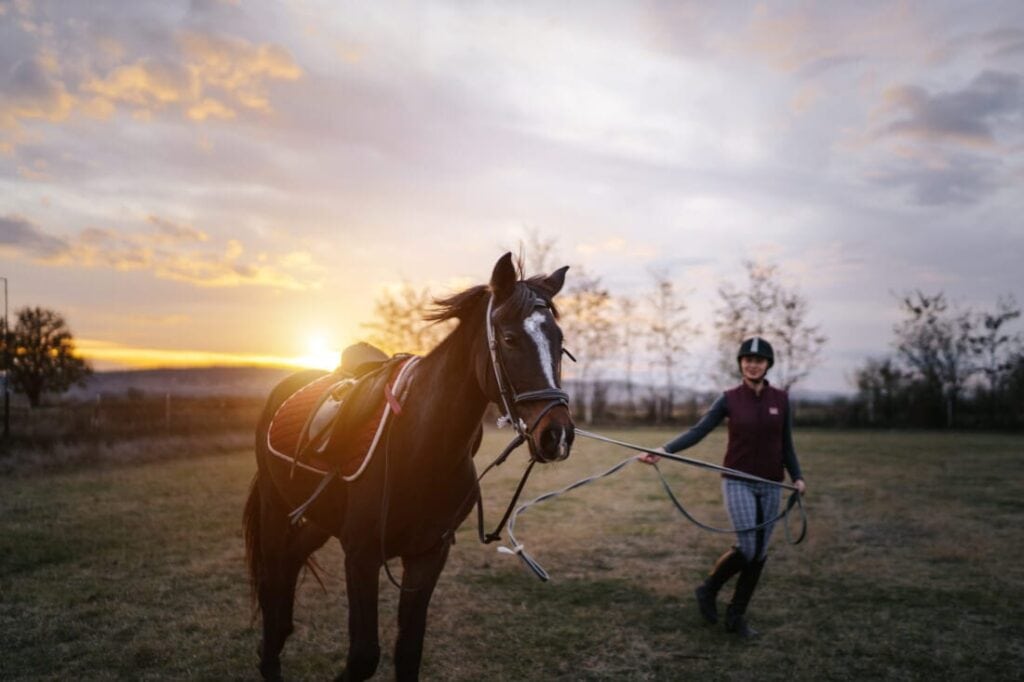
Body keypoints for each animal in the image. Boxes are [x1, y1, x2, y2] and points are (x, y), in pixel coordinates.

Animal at [243, 253, 575, 680]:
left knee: (288, 570)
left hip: (317, 518)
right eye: (508, 339)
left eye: (559, 342)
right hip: (275, 509)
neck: (422, 448)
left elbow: (408, 649)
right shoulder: (361, 554)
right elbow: (364, 654)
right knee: (272, 584)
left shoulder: (428, 553)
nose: (558, 434)